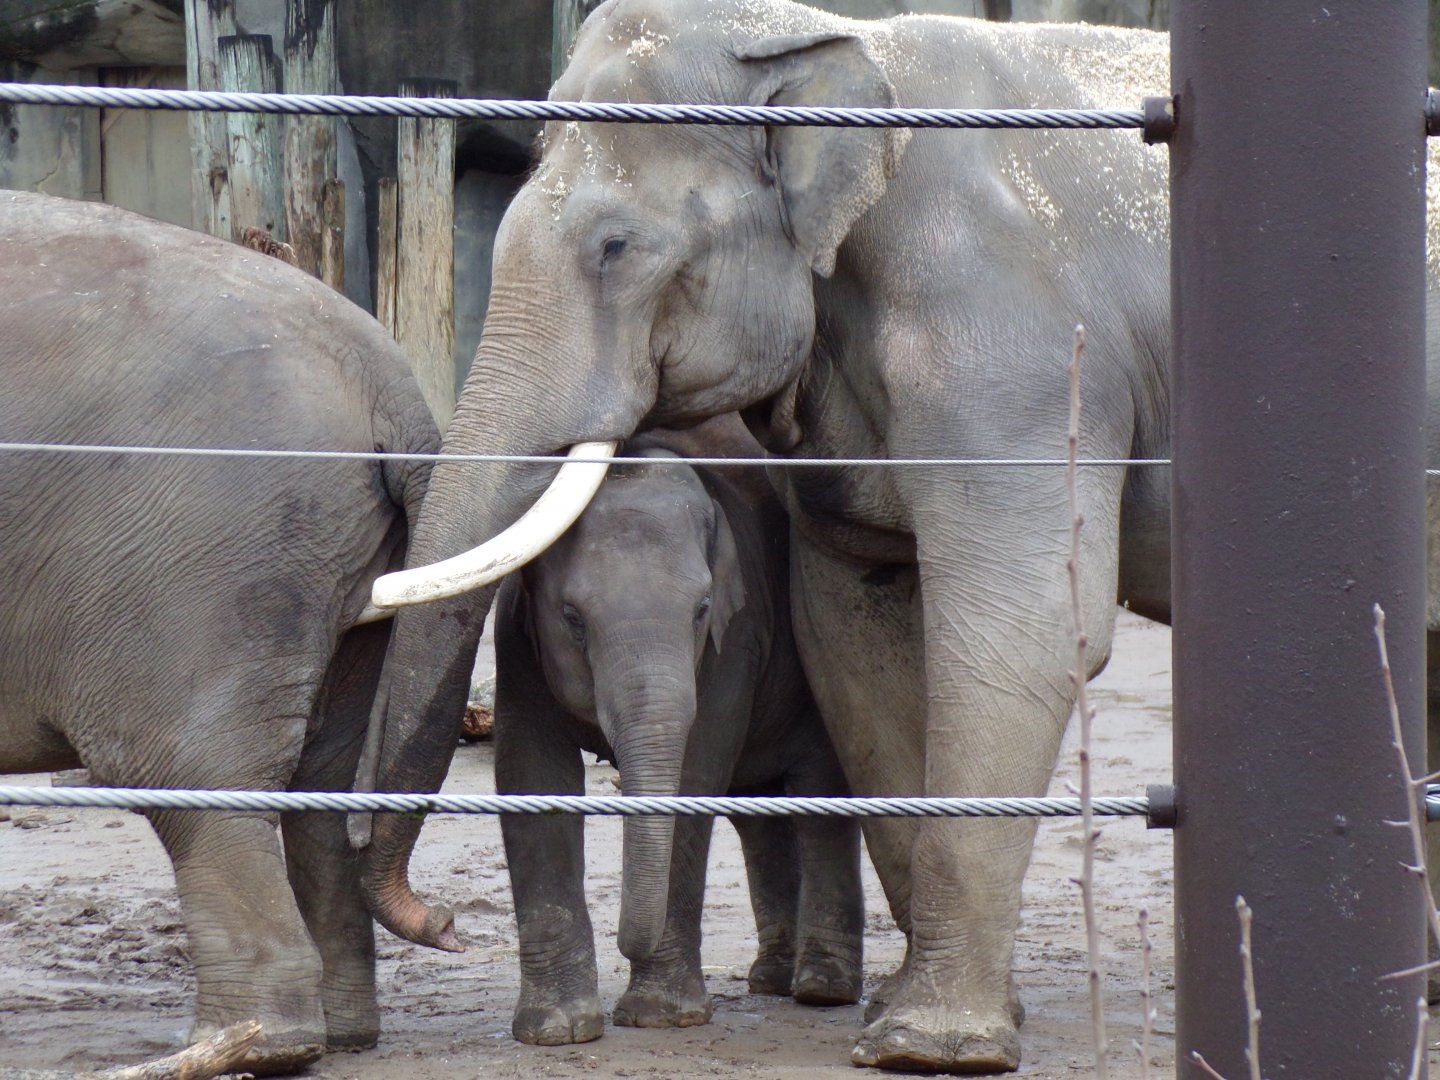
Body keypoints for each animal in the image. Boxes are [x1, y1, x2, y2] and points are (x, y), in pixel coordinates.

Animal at [0, 191, 438, 1075]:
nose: (444, 922)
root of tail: (384, 376)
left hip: (201, 555)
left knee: (190, 773)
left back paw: (249, 1045)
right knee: (320, 779)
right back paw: (341, 1034)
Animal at [492, 417, 864, 1045]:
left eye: (701, 609)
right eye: (572, 620)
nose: (625, 943)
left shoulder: (738, 634)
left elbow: (697, 772)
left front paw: (661, 1017)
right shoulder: (515, 644)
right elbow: (531, 774)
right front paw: (556, 1031)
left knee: (818, 798)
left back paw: (822, 988)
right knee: (758, 813)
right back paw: (772, 979)